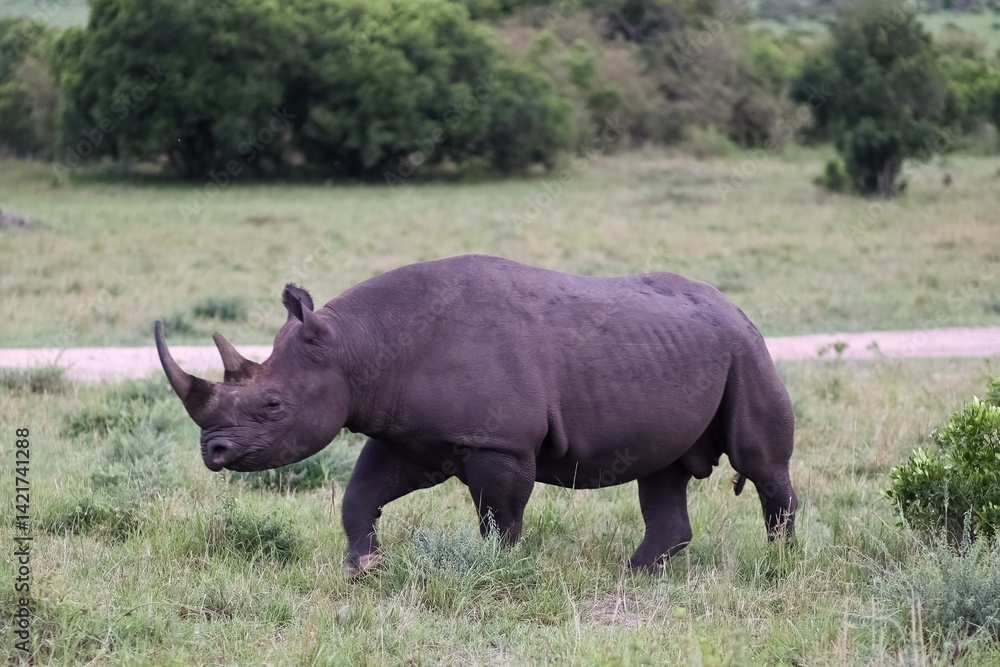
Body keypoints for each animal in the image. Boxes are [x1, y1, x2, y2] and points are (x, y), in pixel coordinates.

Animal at [155, 254, 797, 575]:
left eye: (273, 406)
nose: (213, 452)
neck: (358, 348)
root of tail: (734, 307)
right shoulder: (410, 434)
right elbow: (360, 494)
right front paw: (363, 568)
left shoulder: (499, 441)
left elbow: (499, 517)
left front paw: (493, 572)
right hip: (687, 352)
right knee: (662, 470)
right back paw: (634, 575)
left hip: (745, 349)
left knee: (760, 463)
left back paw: (781, 562)